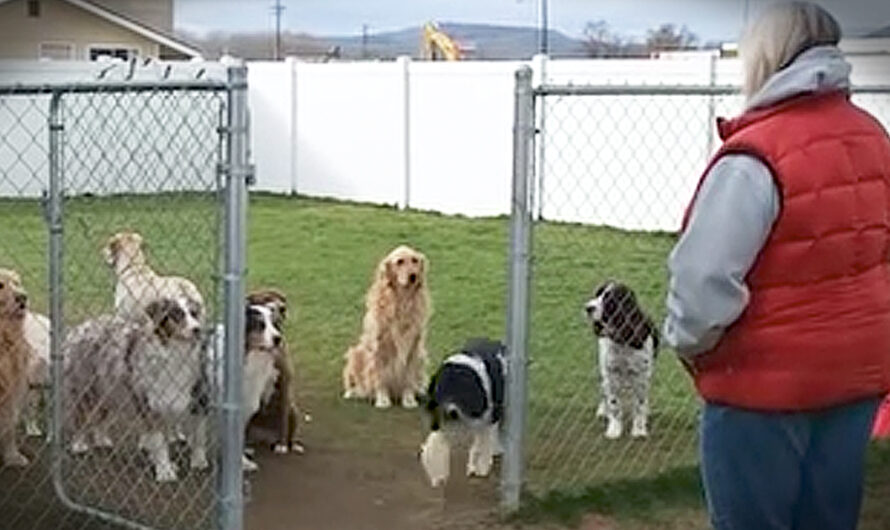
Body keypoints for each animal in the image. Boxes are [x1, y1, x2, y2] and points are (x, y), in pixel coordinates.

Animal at [340, 244, 430, 408]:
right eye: (400, 262)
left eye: (415, 260)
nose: (413, 276)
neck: (402, 301)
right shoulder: (379, 346)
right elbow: (380, 375)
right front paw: (382, 399)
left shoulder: (414, 346)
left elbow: (408, 377)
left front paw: (409, 400)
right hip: (356, 352)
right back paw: (354, 392)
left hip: (422, 354)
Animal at [418, 336, 502, 484]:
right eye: (438, 389)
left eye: (461, 389)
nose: (447, 410)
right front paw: (438, 473)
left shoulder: (489, 417)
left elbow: (484, 442)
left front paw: (481, 467)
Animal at [588, 280, 656, 438]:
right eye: (597, 294)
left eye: (609, 299)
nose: (587, 307)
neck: (622, 339)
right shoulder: (610, 373)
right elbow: (614, 403)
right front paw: (614, 430)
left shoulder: (641, 375)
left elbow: (639, 404)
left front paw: (639, 430)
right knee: (604, 390)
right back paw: (603, 410)